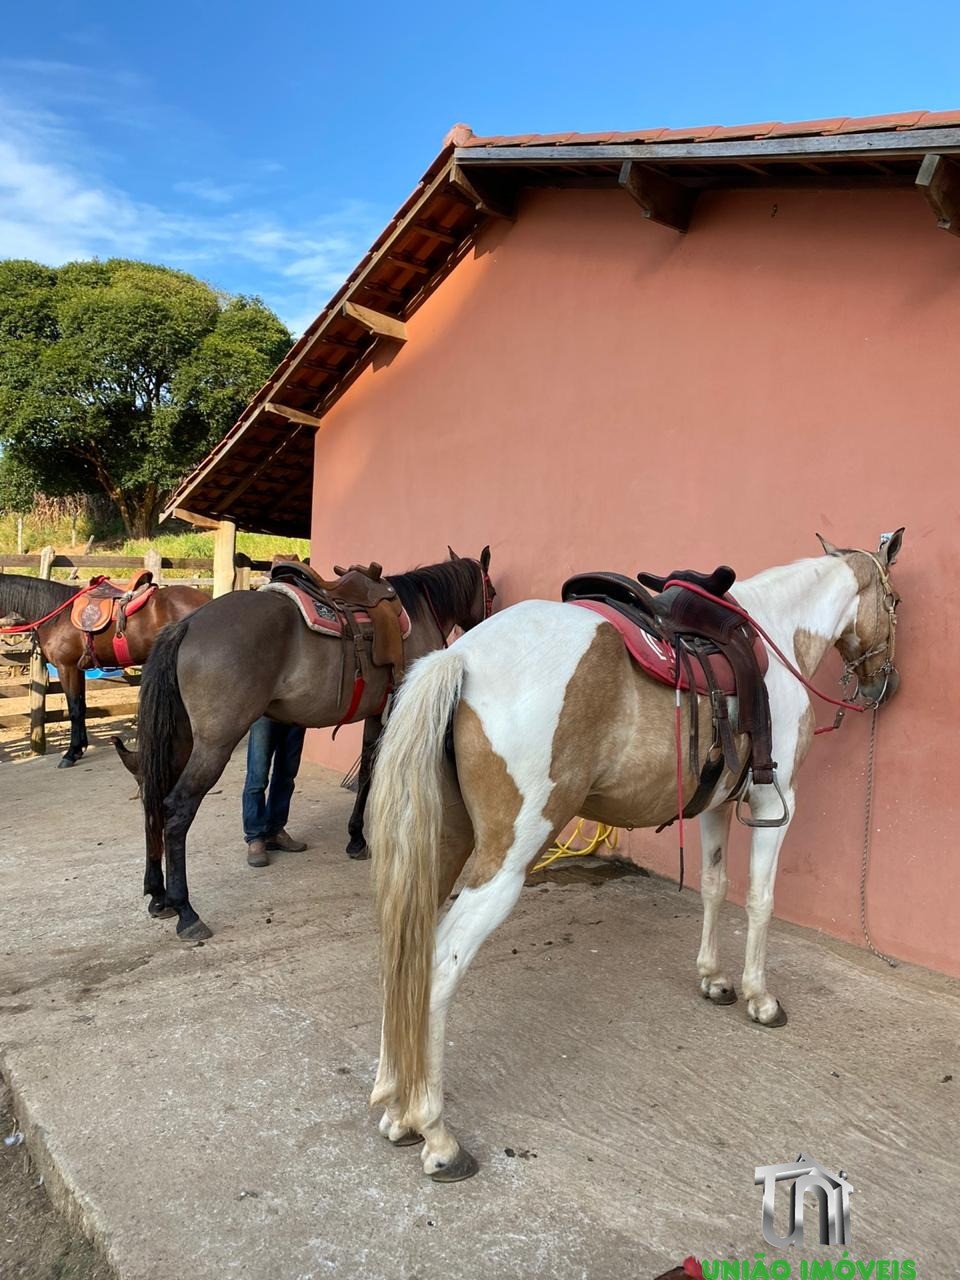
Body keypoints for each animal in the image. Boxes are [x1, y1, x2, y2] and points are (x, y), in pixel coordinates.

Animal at [0, 573, 209, 768]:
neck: (55, 615)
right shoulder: (78, 670)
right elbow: (81, 707)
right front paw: (80, 748)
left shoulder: (66, 668)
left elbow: (74, 709)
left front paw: (71, 753)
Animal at [112, 545, 496, 947]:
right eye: (492, 590)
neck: (418, 609)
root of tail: (186, 625)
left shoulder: (377, 712)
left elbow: (367, 773)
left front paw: (356, 838)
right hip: (213, 744)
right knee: (177, 808)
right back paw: (186, 910)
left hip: (179, 739)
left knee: (152, 795)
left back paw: (158, 895)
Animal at [366, 529, 901, 1177]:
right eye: (895, 602)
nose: (882, 685)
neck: (777, 631)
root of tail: (460, 659)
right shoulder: (776, 801)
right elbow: (761, 900)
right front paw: (759, 998)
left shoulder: (718, 804)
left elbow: (717, 887)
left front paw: (713, 979)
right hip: (505, 861)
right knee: (440, 965)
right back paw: (436, 1132)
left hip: (443, 844)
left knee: (406, 952)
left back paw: (397, 1111)